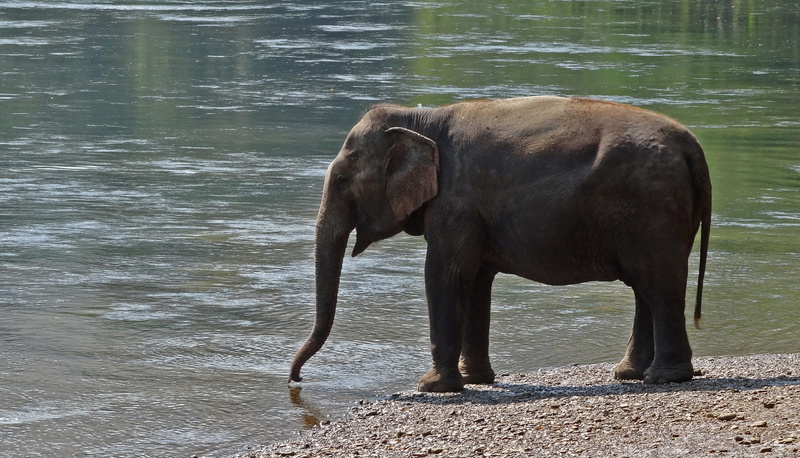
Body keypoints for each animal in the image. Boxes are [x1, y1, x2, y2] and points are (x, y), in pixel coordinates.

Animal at [289, 96, 711, 393]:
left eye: (342, 180)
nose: (295, 380)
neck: (420, 118)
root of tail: (692, 145)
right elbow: (476, 280)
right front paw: (475, 379)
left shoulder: (457, 201)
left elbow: (444, 272)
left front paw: (433, 387)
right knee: (646, 285)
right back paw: (630, 374)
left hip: (653, 207)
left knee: (658, 282)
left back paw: (664, 378)